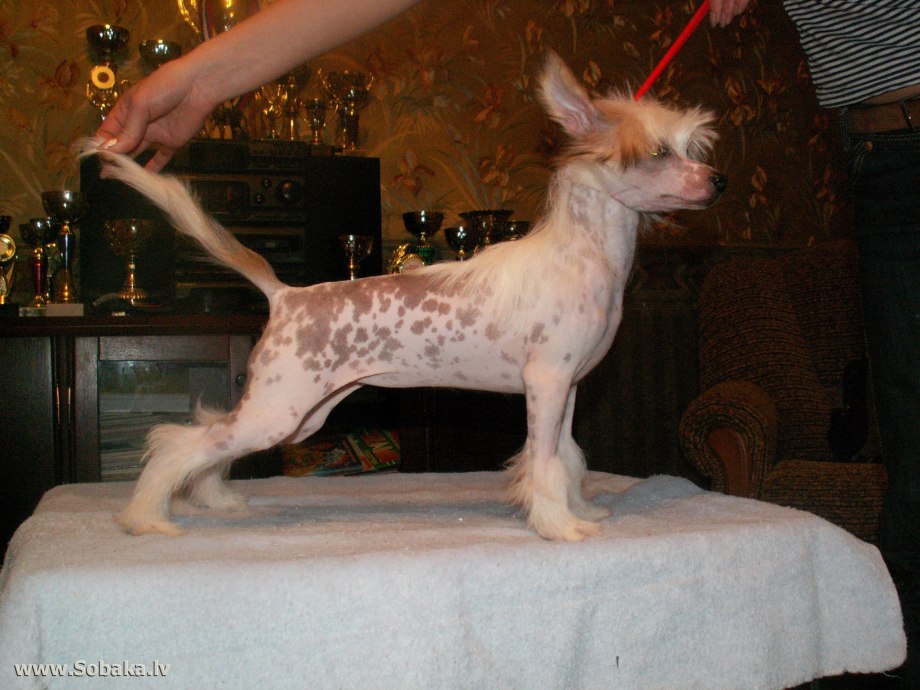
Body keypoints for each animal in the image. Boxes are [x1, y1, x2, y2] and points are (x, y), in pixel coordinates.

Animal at [86, 51, 726, 541]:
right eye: (658, 153)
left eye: (691, 149)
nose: (718, 182)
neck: (588, 257)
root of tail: (286, 294)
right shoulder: (544, 383)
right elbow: (543, 463)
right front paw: (559, 526)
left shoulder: (565, 390)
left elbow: (566, 458)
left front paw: (580, 508)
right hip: (279, 411)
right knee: (179, 443)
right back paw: (145, 517)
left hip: (299, 420)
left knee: (209, 439)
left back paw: (214, 500)